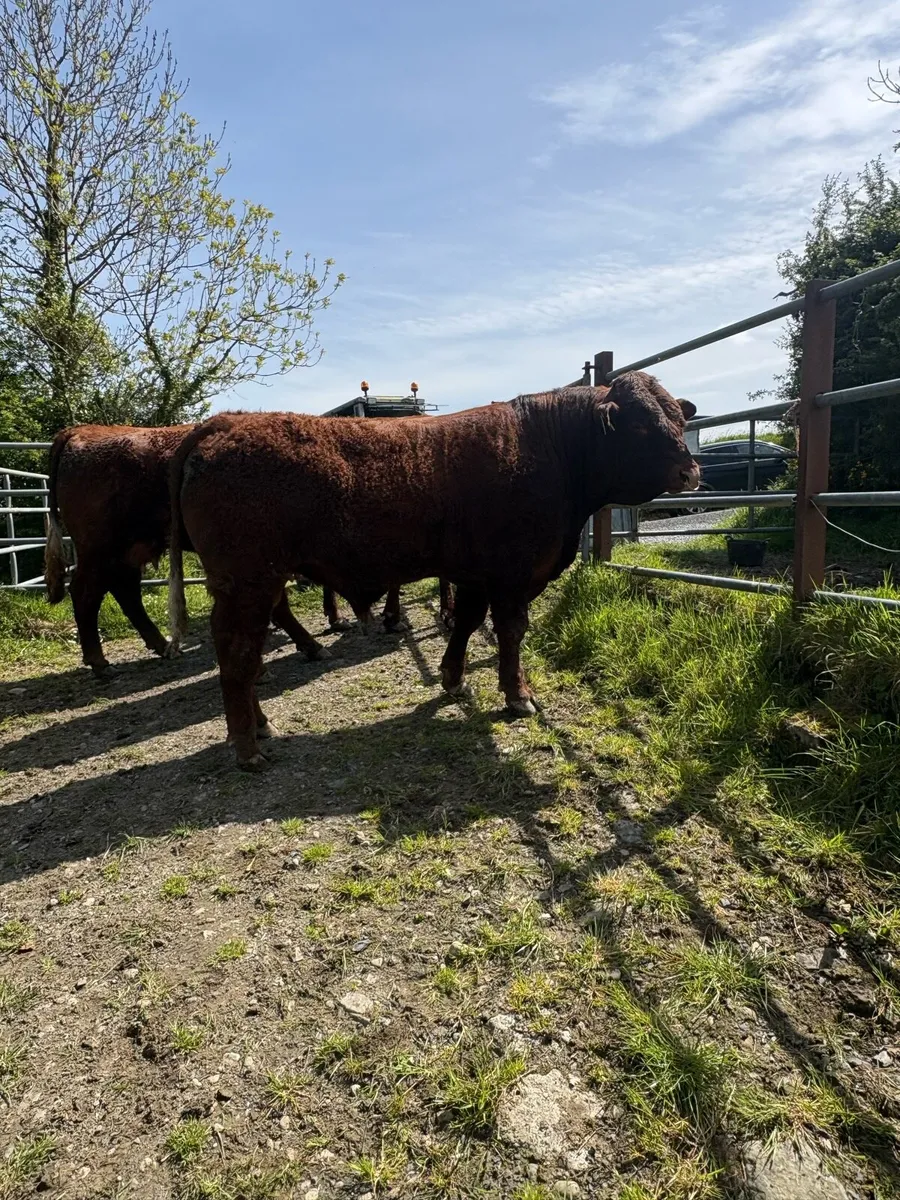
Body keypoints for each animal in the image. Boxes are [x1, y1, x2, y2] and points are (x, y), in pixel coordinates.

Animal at [167, 372, 699, 769]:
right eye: (641, 426)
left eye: (676, 416)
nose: (691, 471)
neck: (551, 448)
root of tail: (222, 425)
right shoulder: (511, 574)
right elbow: (510, 632)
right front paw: (518, 695)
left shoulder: (476, 574)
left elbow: (465, 621)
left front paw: (451, 678)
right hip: (249, 584)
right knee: (238, 657)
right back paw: (248, 748)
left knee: (239, 655)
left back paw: (259, 726)